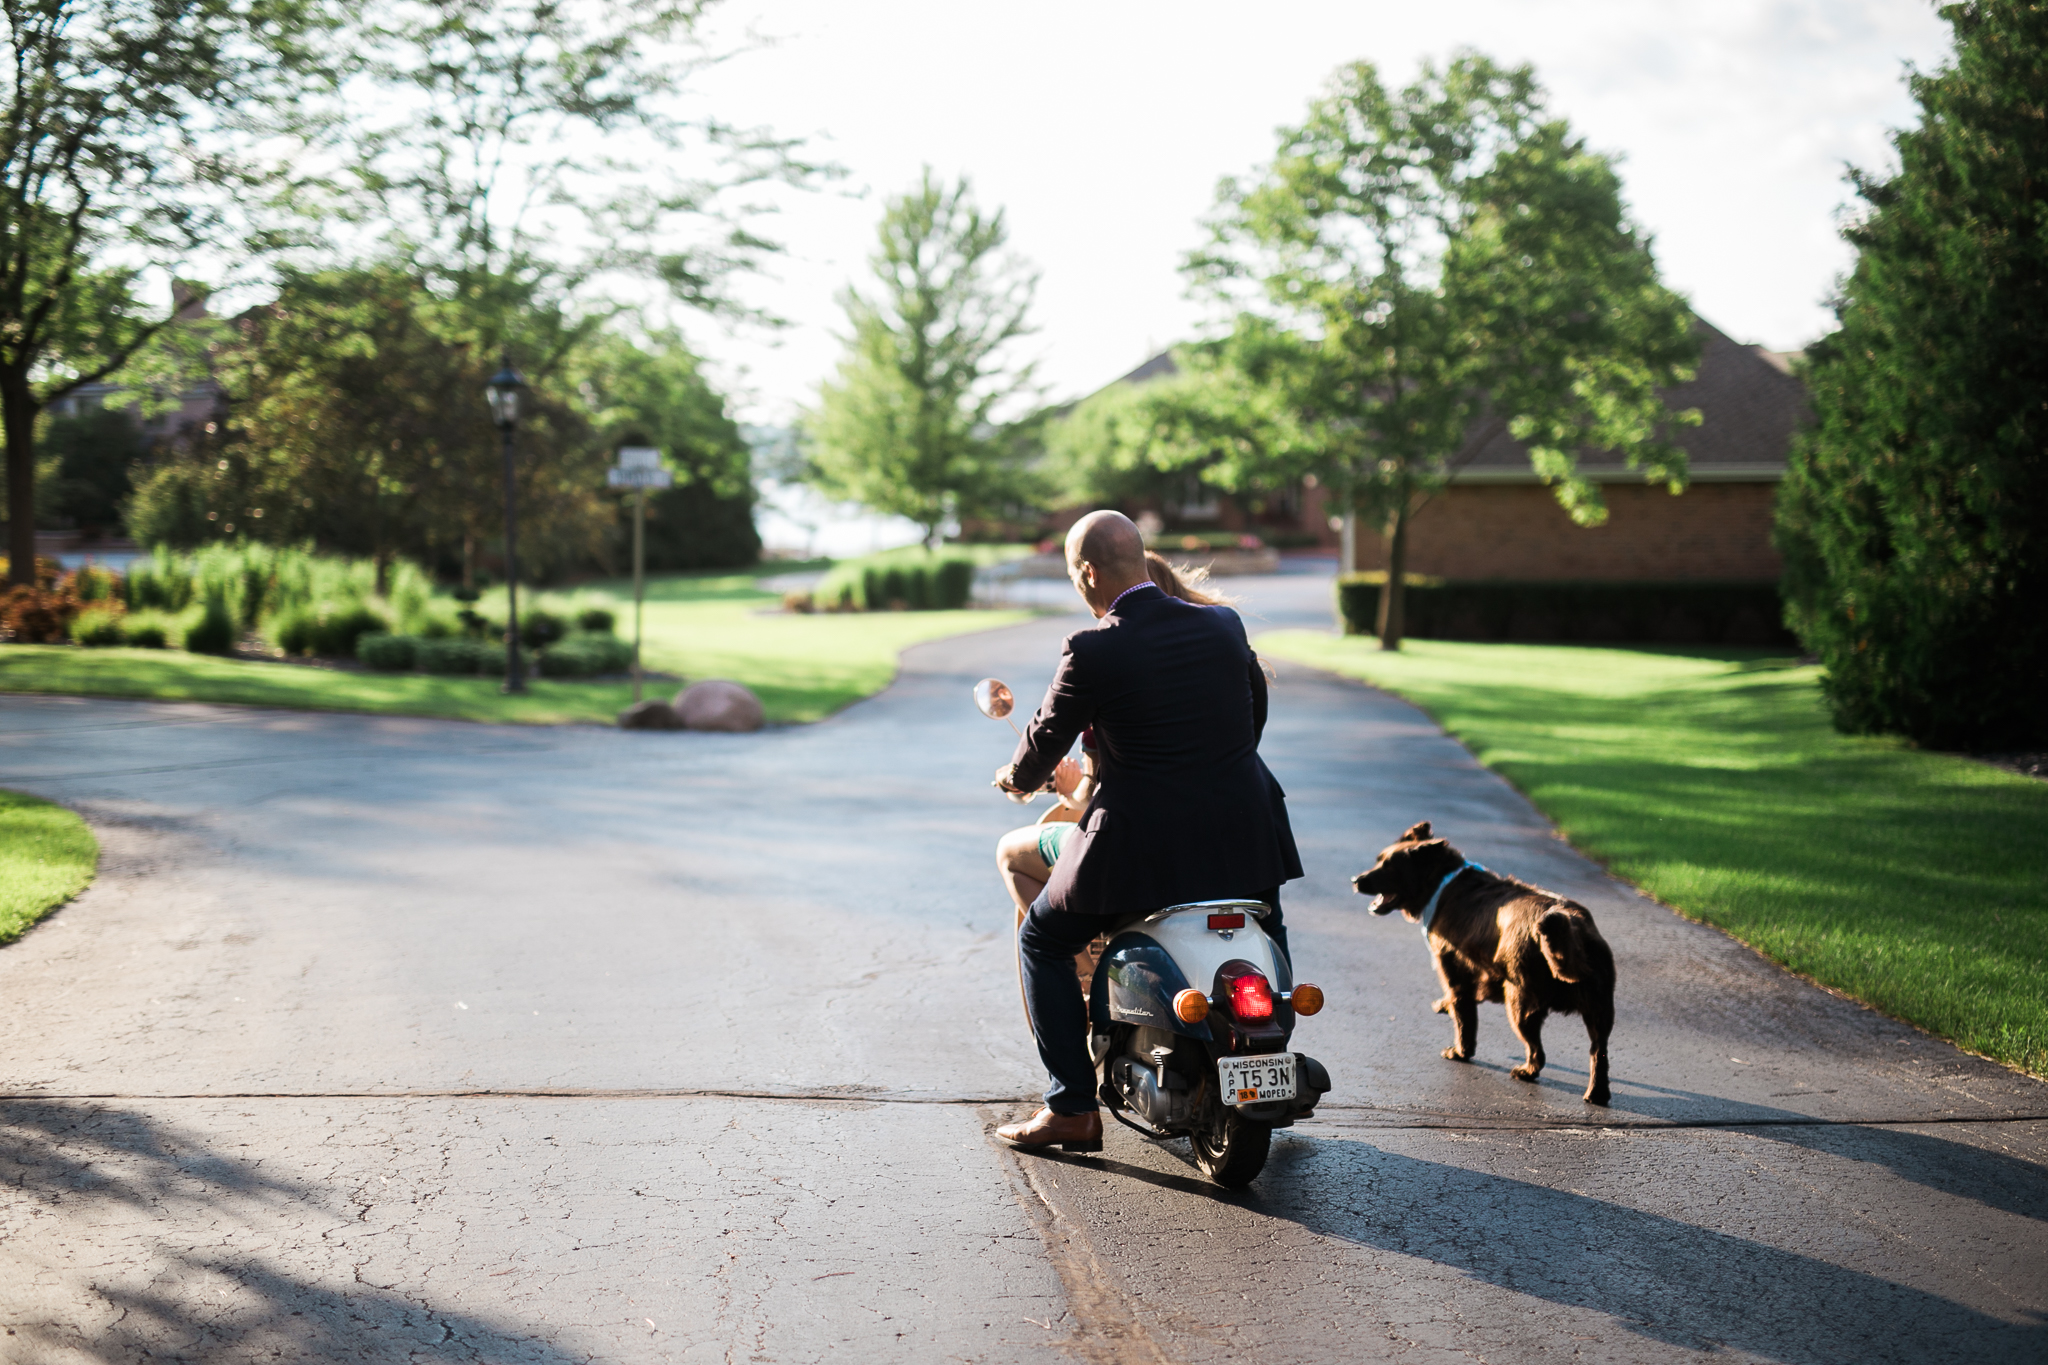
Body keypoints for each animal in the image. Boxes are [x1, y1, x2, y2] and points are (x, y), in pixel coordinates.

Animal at [1351, 822, 1622, 1096]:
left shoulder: (1454, 970)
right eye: (1378, 860)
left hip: (1519, 1004)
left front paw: (1460, 1051)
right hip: (1600, 1010)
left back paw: (1526, 1072)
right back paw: (1597, 1094)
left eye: (1389, 867)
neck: (1443, 883)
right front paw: (1444, 1006)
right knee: (1598, 1053)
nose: (1356, 880)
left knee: (1537, 1051)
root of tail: (1572, 924)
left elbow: (1464, 1016)